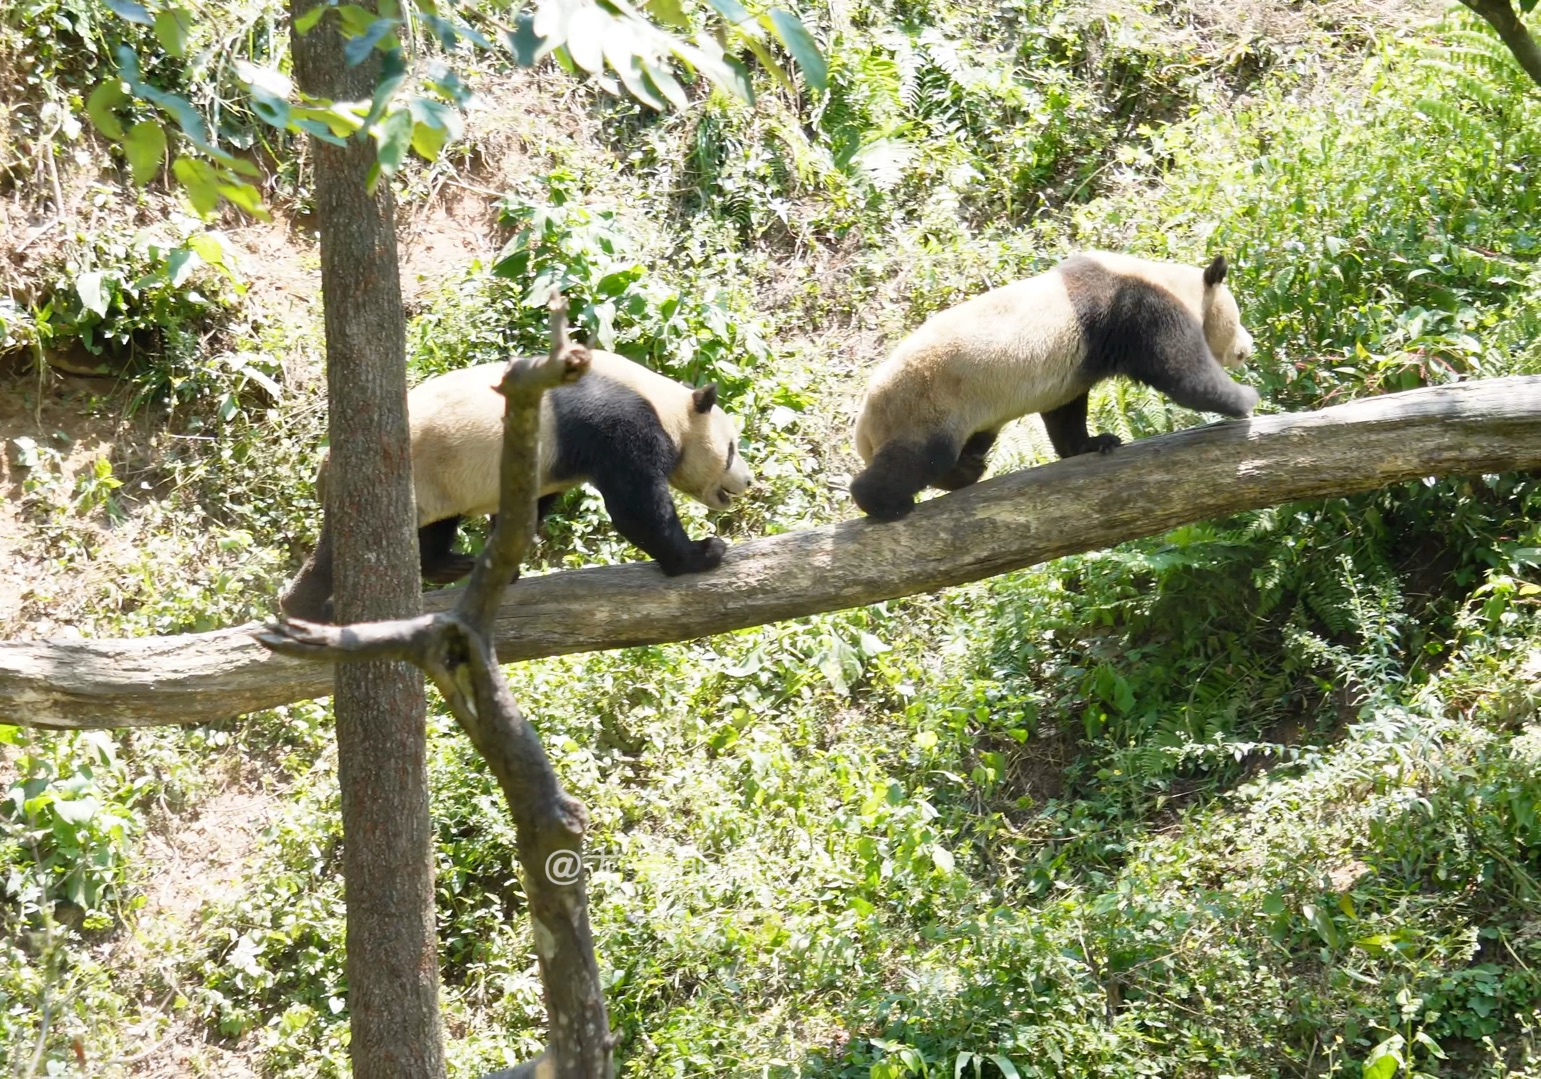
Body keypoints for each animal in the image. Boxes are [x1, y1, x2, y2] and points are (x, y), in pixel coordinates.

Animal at [285, 349, 758, 619]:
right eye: (732, 448)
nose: (749, 480)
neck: (665, 402)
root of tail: (325, 465)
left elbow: (530, 503)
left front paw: (504, 567)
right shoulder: (614, 422)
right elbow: (636, 507)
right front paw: (701, 553)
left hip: (433, 479)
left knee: (434, 525)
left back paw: (450, 565)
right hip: (404, 472)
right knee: (343, 546)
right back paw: (305, 609)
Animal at [850, 252, 1257, 524]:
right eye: (1236, 317)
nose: (1246, 347)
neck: (1170, 280)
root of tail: (864, 424)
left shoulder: (1071, 368)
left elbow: (1065, 413)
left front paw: (1094, 443)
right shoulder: (1138, 309)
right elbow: (1182, 372)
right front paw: (1246, 399)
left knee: (961, 450)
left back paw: (968, 471)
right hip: (927, 404)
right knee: (921, 458)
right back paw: (884, 502)